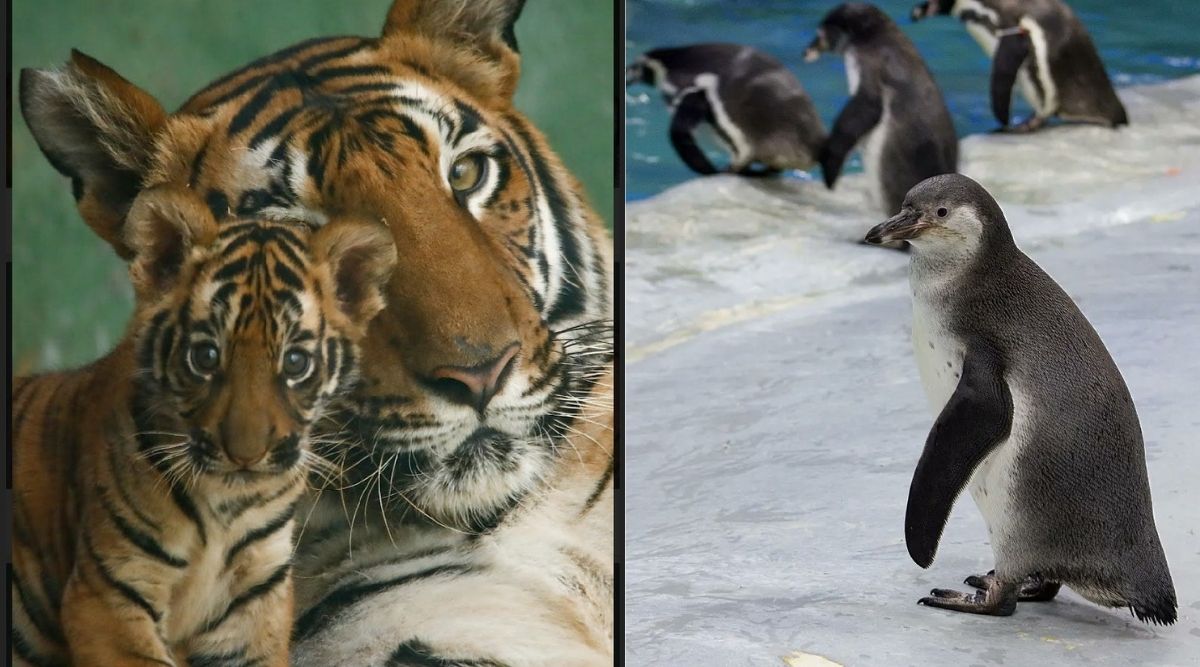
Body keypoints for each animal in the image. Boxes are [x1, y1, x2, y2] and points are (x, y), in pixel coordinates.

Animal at [9, 185, 396, 667]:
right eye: (206, 356)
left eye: (295, 362)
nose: (246, 455)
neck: (224, 511)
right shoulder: (105, 598)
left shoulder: (254, 608)